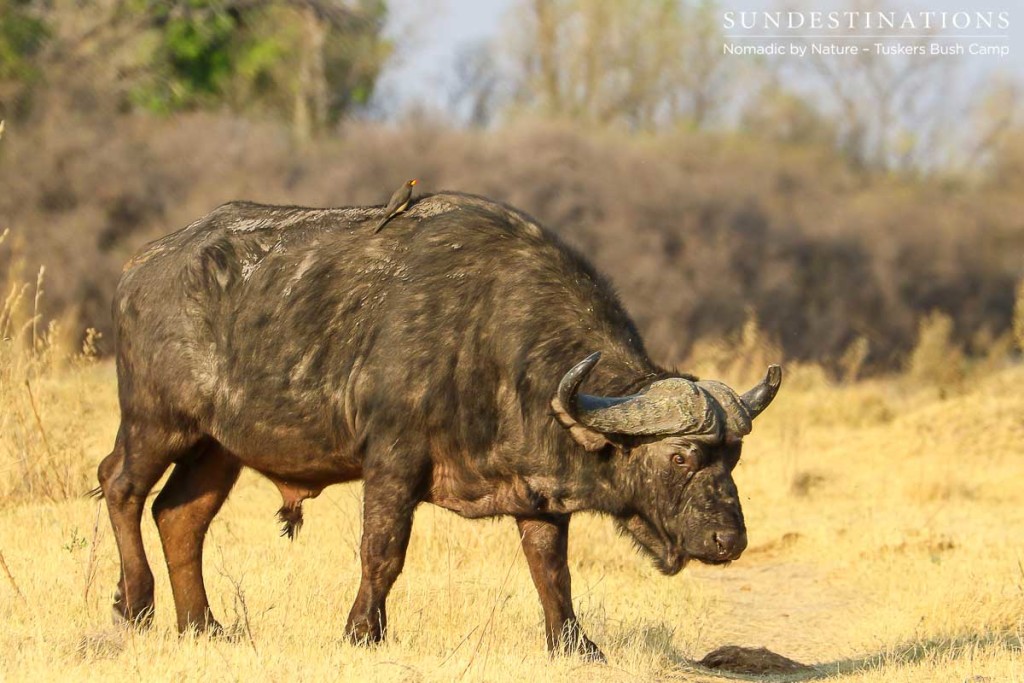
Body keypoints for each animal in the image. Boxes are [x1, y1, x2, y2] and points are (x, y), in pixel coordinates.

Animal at [97, 192, 782, 663]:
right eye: (681, 457)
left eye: (733, 460)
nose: (729, 541)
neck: (491, 341)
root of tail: (137, 268)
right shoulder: (392, 462)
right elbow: (382, 553)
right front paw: (362, 632)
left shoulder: (537, 494)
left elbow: (551, 571)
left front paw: (575, 644)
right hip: (157, 421)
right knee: (120, 485)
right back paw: (135, 602)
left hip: (217, 446)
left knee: (181, 516)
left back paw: (202, 625)